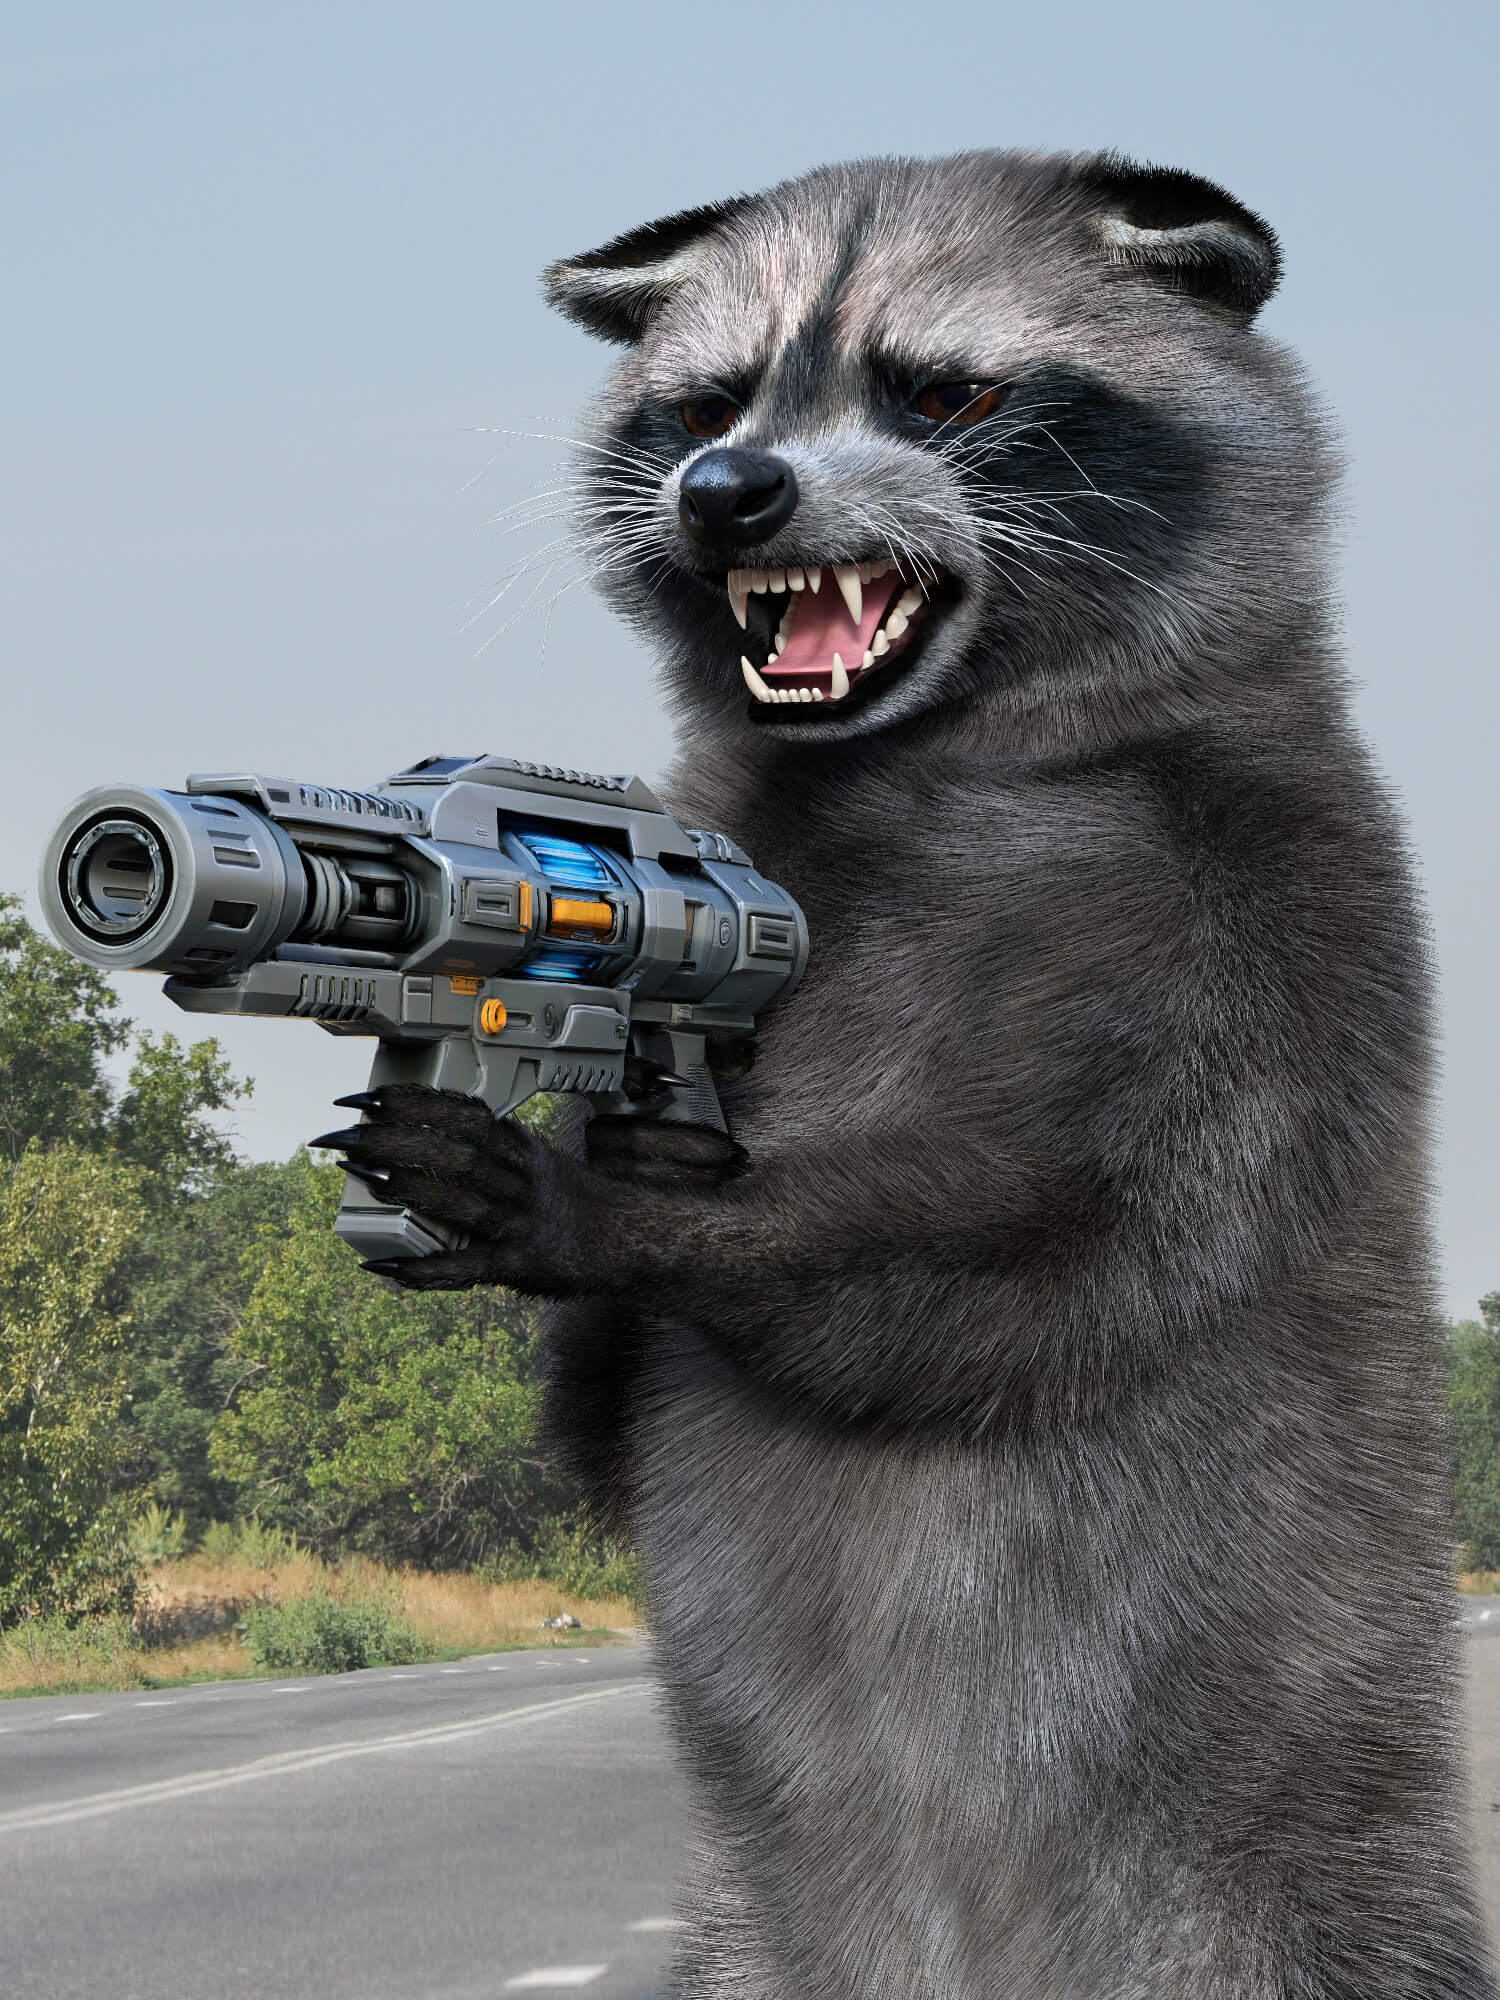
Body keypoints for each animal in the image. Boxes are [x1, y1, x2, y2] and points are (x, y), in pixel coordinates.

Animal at [339, 152, 1497, 1996]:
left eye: (941, 390)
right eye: (708, 404)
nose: (729, 493)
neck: (898, 760)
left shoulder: (1272, 936)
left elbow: (1020, 1270)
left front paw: (607, 1211)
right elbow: (603, 1437)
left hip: (1269, 1905)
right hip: (749, 1932)